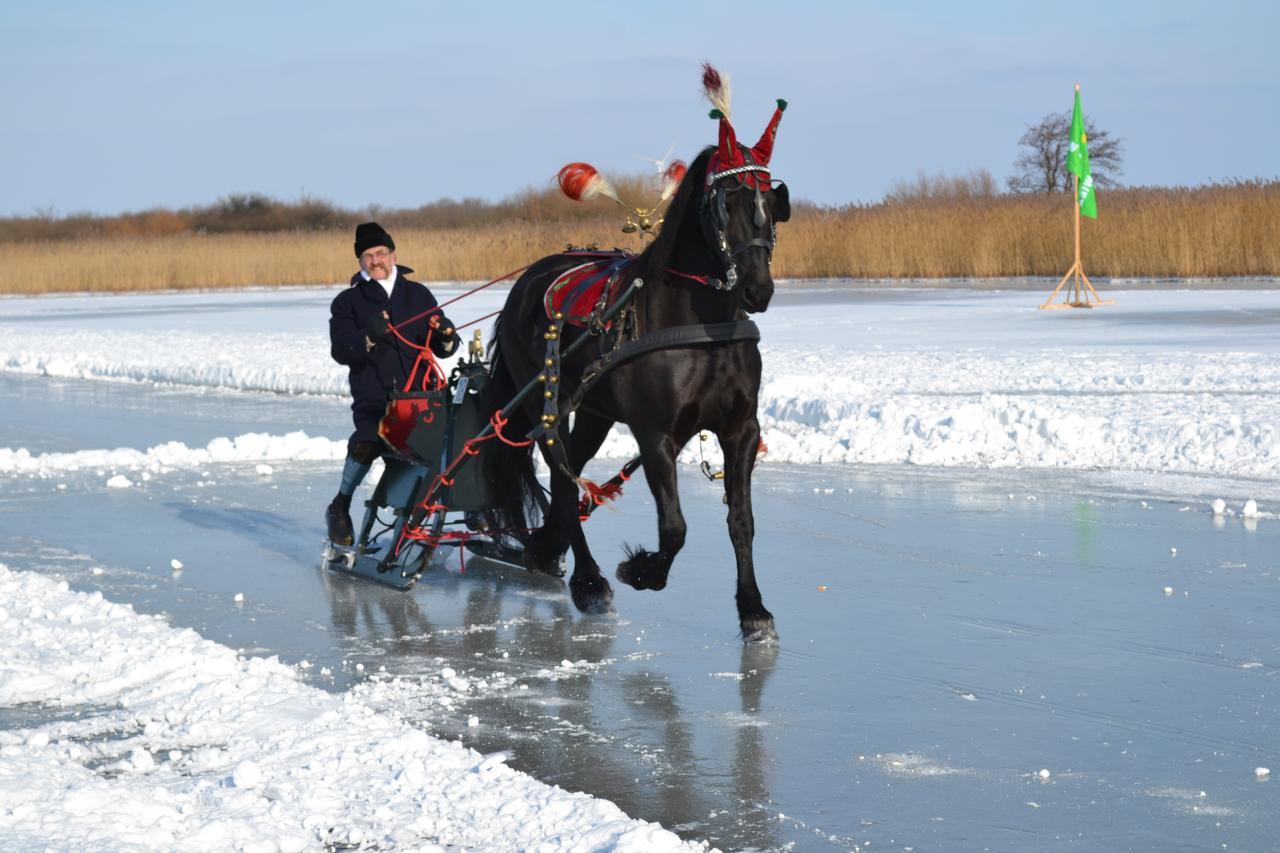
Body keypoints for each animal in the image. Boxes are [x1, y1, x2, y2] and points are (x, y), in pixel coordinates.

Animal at [483, 131, 783, 637]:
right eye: (727, 201)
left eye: (773, 199)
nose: (757, 289)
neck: (703, 327)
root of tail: (527, 281)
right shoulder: (655, 433)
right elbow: (675, 528)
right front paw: (641, 570)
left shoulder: (741, 428)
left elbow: (742, 521)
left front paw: (753, 609)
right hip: (545, 404)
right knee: (564, 481)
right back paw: (588, 581)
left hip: (593, 412)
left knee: (569, 475)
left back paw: (546, 548)